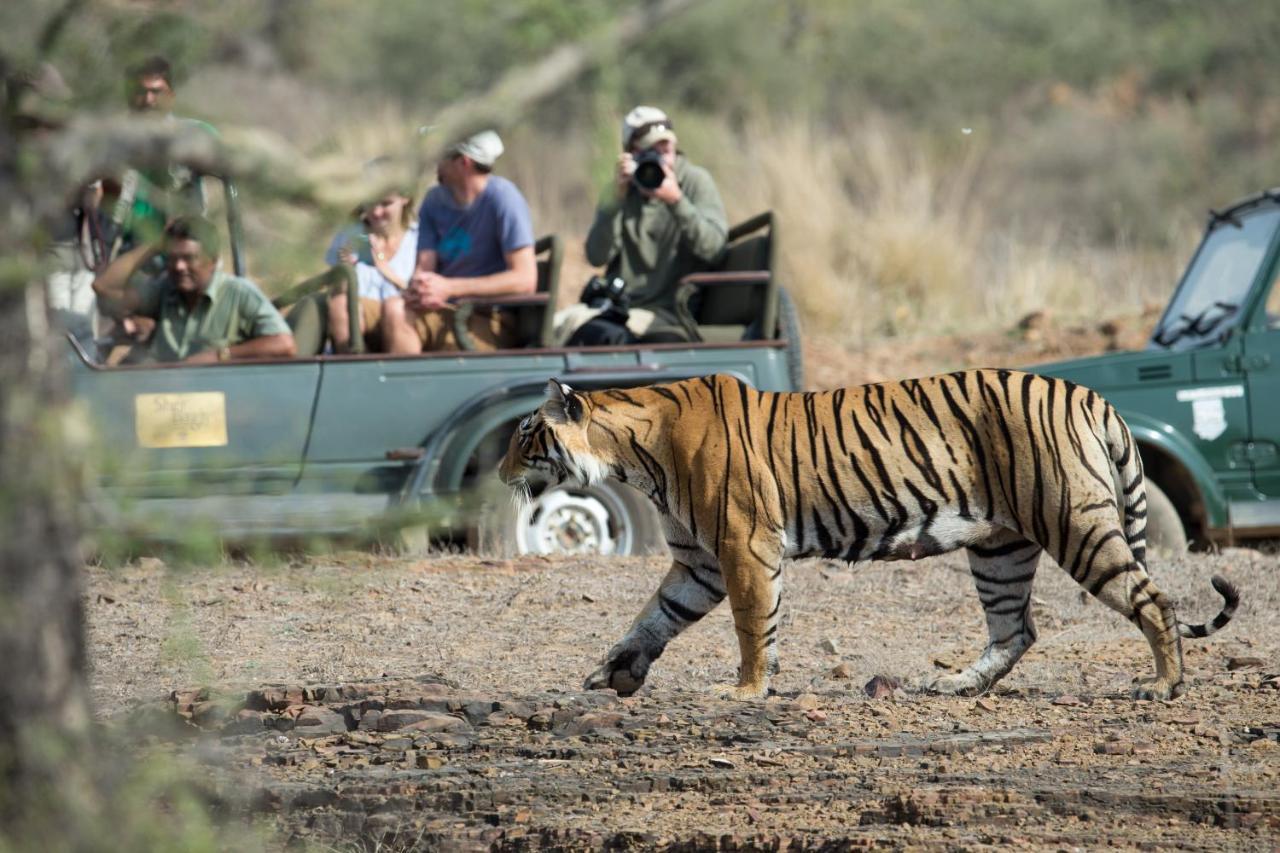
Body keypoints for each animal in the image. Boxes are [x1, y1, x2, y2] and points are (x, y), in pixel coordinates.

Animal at [499, 371, 1239, 696]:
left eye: (525, 434)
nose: (502, 472)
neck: (633, 452)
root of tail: (1090, 393)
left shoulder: (743, 546)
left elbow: (752, 624)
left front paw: (747, 689)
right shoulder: (698, 563)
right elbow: (652, 617)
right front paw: (613, 671)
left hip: (1074, 524)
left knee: (1152, 600)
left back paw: (1163, 685)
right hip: (1000, 547)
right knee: (1017, 629)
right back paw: (956, 684)